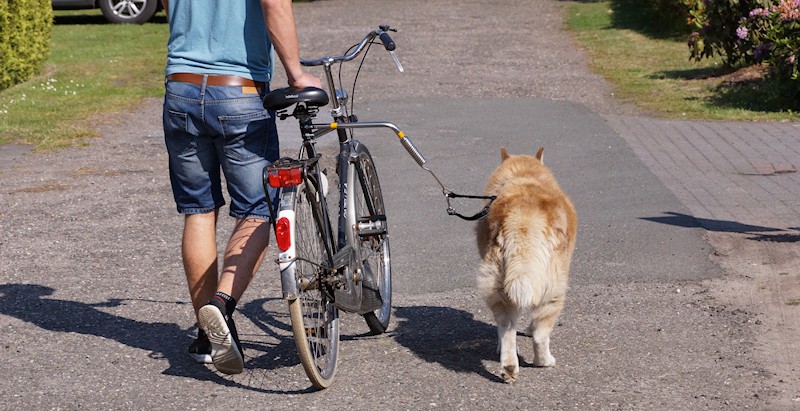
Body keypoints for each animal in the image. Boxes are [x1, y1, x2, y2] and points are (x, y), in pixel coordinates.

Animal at [476, 147, 576, 384]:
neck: (525, 176)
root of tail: (523, 221)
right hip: (554, 287)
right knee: (540, 333)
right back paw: (544, 361)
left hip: (498, 285)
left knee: (506, 328)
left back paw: (509, 366)